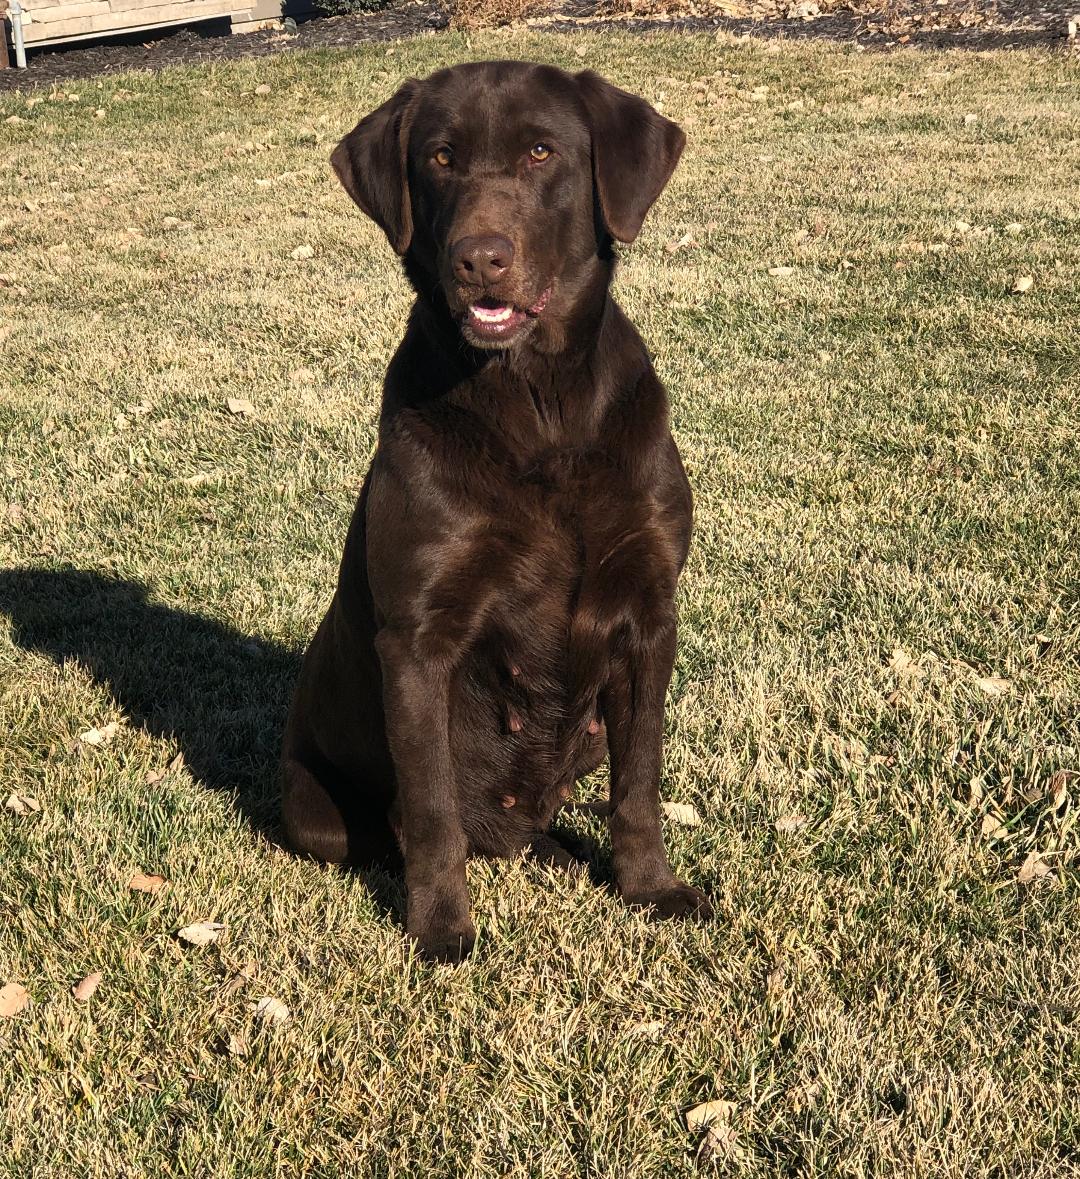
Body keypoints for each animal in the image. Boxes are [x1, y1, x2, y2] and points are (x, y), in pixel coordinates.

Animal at [282, 62, 712, 957]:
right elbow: (431, 811)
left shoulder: (649, 614)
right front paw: (442, 929)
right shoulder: (417, 641)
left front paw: (650, 888)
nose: (480, 259)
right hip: (314, 810)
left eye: (542, 152)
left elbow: (640, 781)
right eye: (440, 159)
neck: (538, 404)